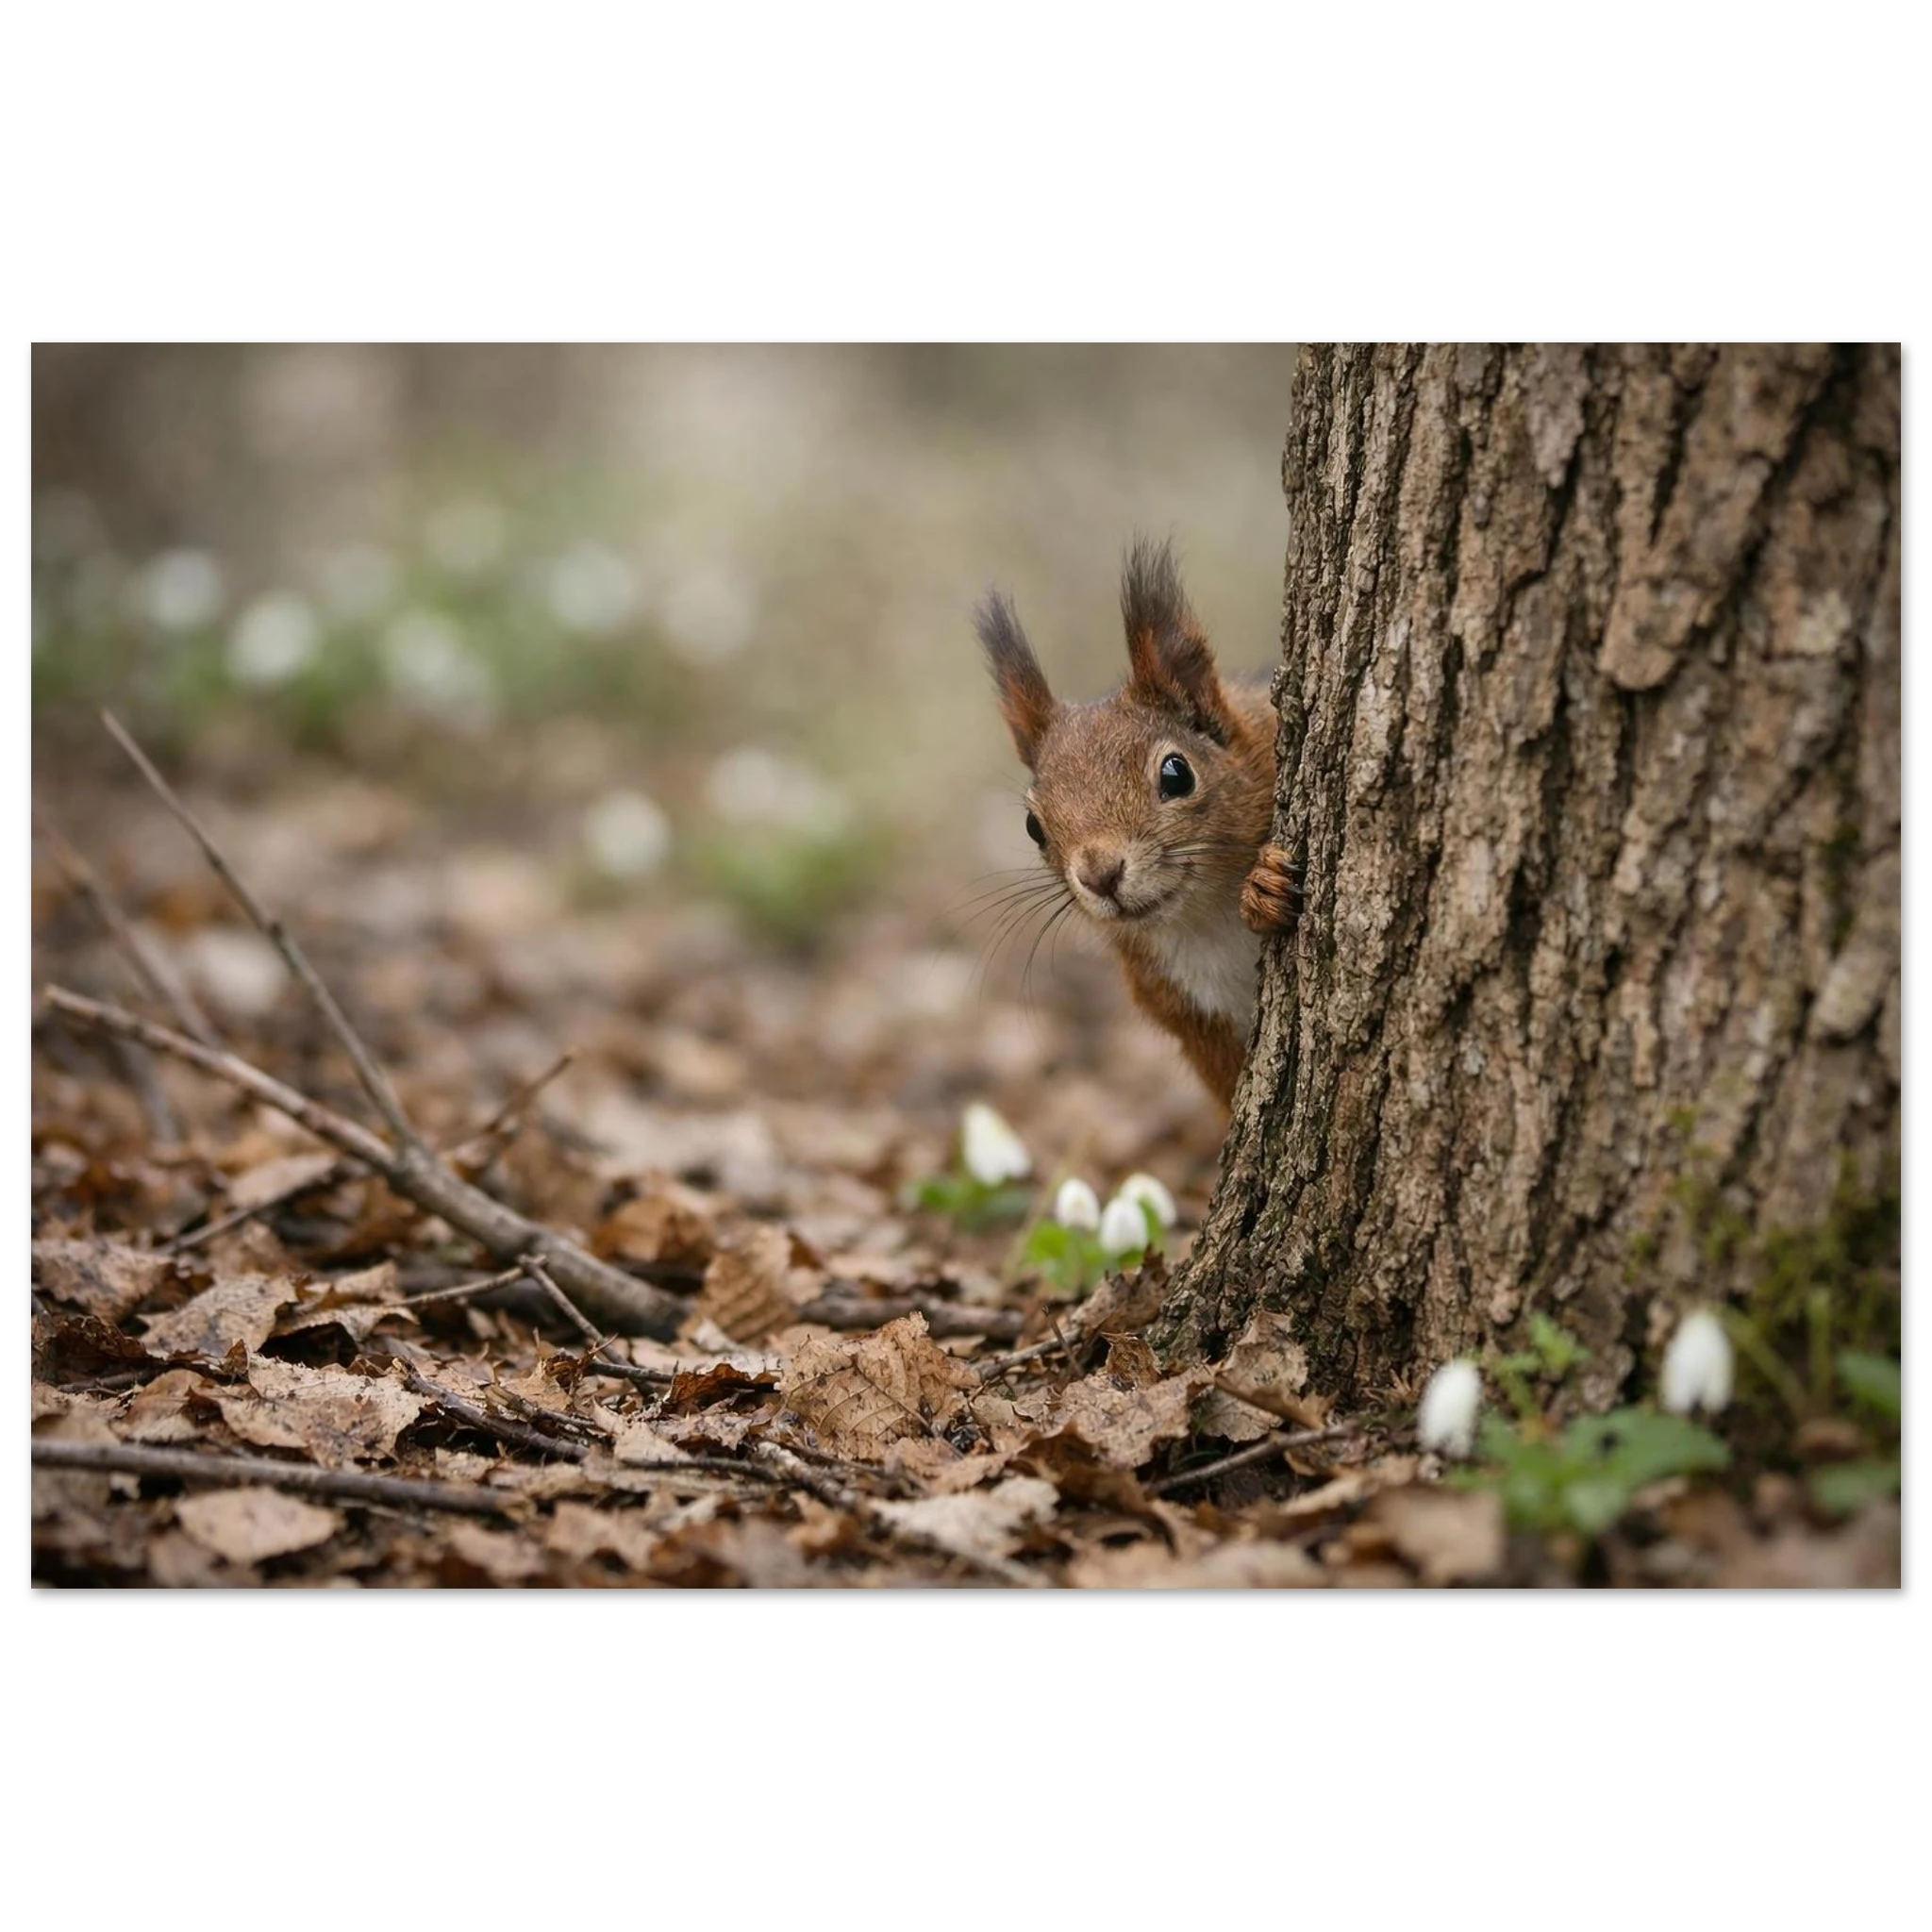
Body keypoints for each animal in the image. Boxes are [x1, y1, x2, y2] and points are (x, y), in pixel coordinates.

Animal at [976, 535, 1303, 1108]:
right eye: (1033, 827)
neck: (1206, 920)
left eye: (1177, 773)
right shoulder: (1189, 1016)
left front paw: (1263, 883)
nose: (1100, 874)